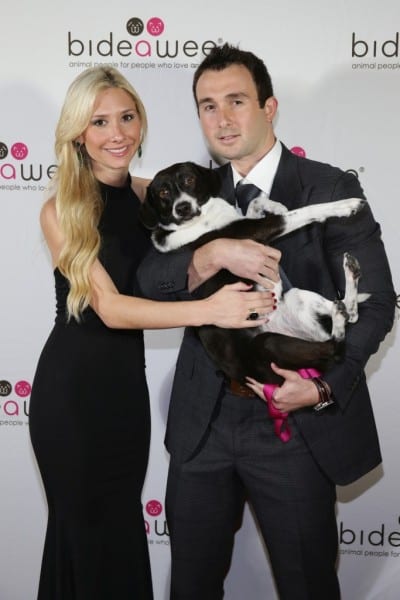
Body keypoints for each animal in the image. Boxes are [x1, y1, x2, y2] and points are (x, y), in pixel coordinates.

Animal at [141, 162, 368, 382]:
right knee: (336, 347)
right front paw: (345, 205)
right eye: (163, 192)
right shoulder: (256, 231)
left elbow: (255, 202)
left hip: (296, 299)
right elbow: (303, 211)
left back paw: (350, 276)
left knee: (350, 315)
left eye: (189, 179)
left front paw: (273, 205)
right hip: (268, 343)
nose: (182, 208)